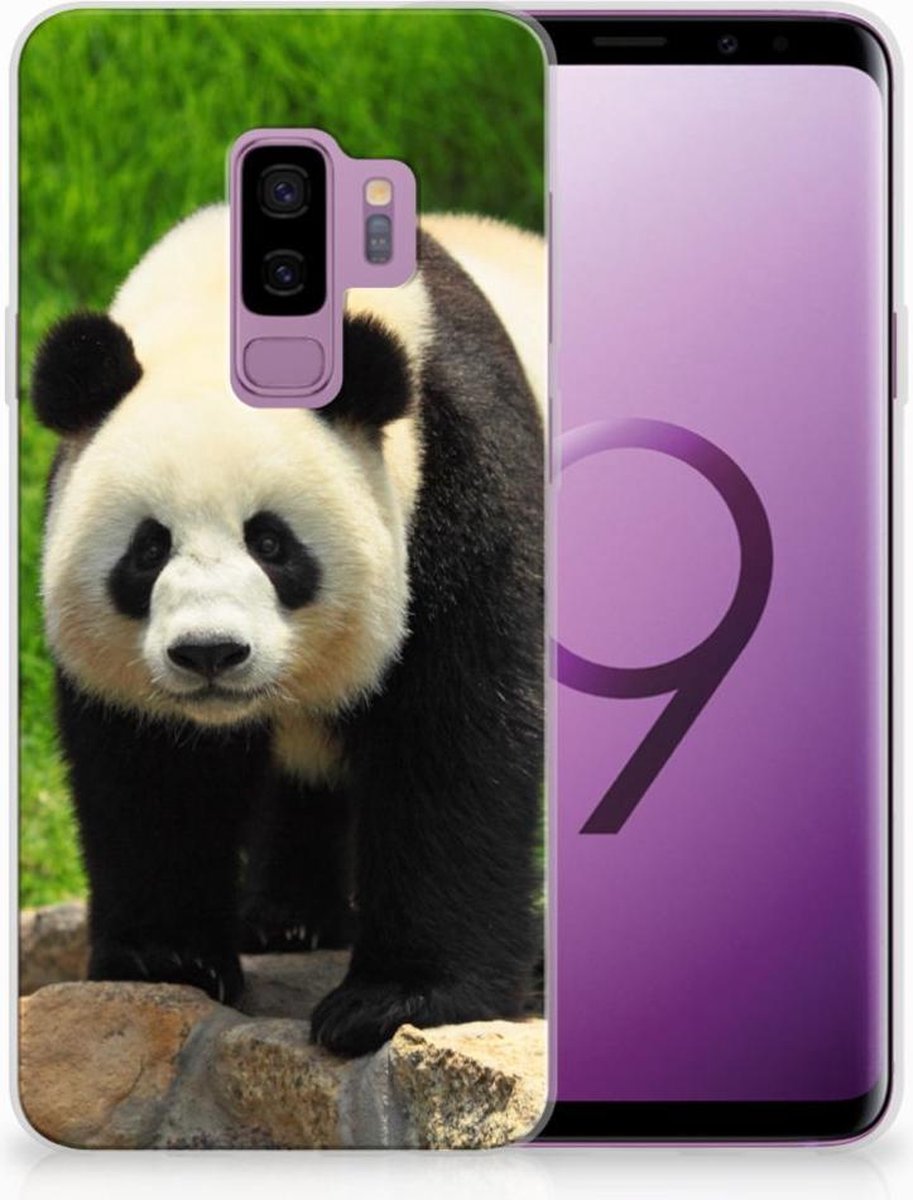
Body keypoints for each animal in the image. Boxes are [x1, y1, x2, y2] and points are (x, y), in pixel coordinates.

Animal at [30, 205, 545, 1057]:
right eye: (147, 549)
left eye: (271, 543)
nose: (209, 653)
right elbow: (152, 766)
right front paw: (167, 959)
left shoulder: (460, 476)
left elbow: (456, 736)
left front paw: (395, 1000)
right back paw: (287, 920)